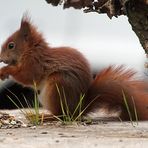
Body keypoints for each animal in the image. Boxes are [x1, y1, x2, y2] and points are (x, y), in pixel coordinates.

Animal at [0, 14, 148, 120]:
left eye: (11, 45)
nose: (1, 58)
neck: (30, 51)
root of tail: (78, 109)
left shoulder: (36, 64)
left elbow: (27, 77)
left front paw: (5, 70)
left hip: (57, 86)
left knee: (62, 115)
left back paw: (45, 116)